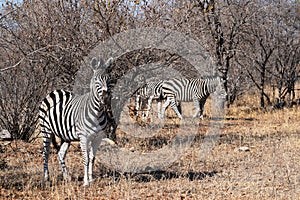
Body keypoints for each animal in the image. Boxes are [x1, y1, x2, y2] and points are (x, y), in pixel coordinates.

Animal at [38, 56, 115, 186]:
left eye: (109, 79)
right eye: (96, 80)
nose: (105, 98)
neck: (98, 111)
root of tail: (53, 91)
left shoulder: (98, 138)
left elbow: (92, 158)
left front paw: (91, 179)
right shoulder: (84, 137)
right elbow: (85, 158)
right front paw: (86, 182)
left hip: (65, 136)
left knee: (60, 153)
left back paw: (67, 177)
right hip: (46, 130)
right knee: (46, 152)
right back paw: (46, 177)